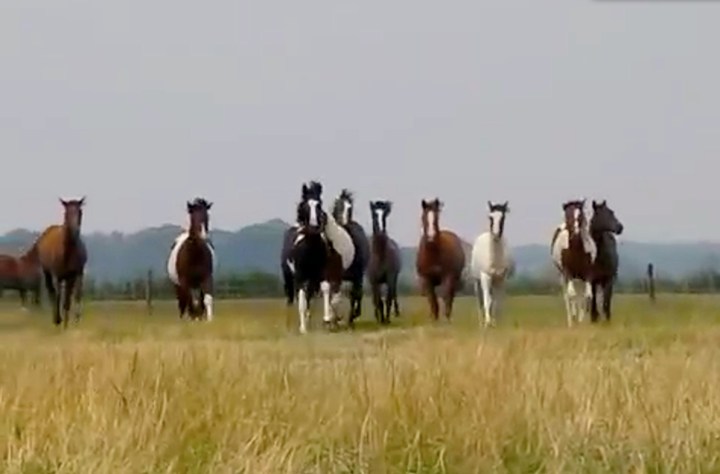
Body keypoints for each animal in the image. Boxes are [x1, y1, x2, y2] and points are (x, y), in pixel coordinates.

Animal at [32, 197, 87, 327]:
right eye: (66, 213)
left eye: (80, 212)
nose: (75, 231)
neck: (67, 252)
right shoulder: (58, 275)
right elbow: (58, 296)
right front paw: (59, 320)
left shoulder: (74, 274)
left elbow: (71, 298)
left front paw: (70, 323)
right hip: (47, 272)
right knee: (52, 293)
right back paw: (56, 319)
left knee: (66, 296)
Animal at [284, 181, 345, 333]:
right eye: (305, 205)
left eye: (319, 204)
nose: (314, 227)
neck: (309, 250)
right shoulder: (300, 276)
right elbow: (301, 301)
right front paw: (303, 328)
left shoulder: (321, 273)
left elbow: (325, 289)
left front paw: (327, 320)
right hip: (291, 277)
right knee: (293, 297)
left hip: (312, 280)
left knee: (310, 297)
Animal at [331, 189, 369, 327]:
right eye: (338, 205)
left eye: (350, 208)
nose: (344, 222)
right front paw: (336, 319)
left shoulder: (357, 275)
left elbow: (354, 295)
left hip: (357, 276)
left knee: (356, 294)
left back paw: (352, 317)